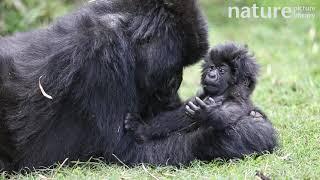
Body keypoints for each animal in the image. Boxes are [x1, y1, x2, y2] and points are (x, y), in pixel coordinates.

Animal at [0, 0, 208, 170]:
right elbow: (125, 150)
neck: (127, 35)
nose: (176, 84)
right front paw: (209, 139)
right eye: (178, 63)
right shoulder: (102, 57)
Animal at [124, 43, 276, 159]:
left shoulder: (237, 101)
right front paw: (143, 128)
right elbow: (175, 116)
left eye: (222, 70)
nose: (211, 74)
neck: (225, 91)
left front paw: (207, 113)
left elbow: (227, 117)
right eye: (212, 67)